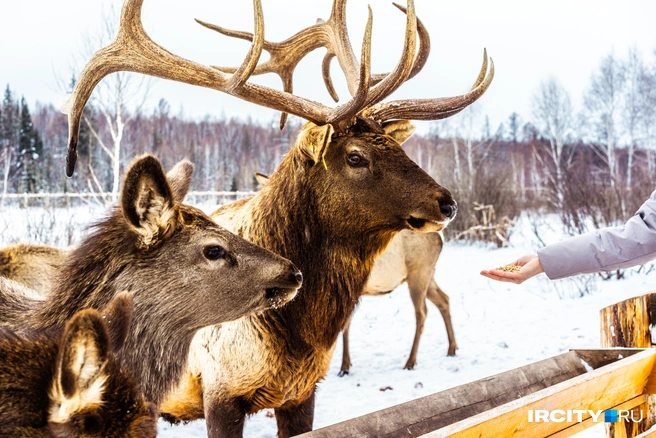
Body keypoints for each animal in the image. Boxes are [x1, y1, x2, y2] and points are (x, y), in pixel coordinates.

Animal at [62, 0, 492, 434]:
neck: (297, 335)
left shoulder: (301, 393)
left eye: (393, 143)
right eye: (356, 156)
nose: (447, 203)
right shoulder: (219, 393)